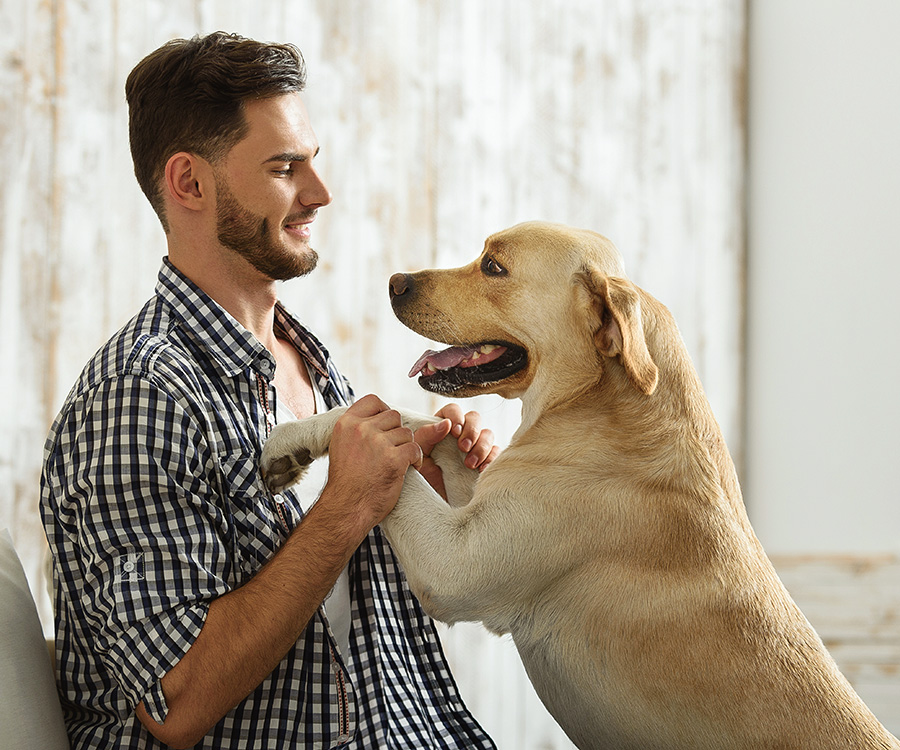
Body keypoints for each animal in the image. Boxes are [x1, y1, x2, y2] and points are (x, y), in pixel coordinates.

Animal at [262, 223, 900, 750]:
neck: (599, 404)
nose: (396, 282)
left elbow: (383, 432)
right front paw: (290, 443)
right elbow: (413, 419)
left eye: (493, 266)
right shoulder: (488, 496)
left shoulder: (454, 562)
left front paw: (312, 440)